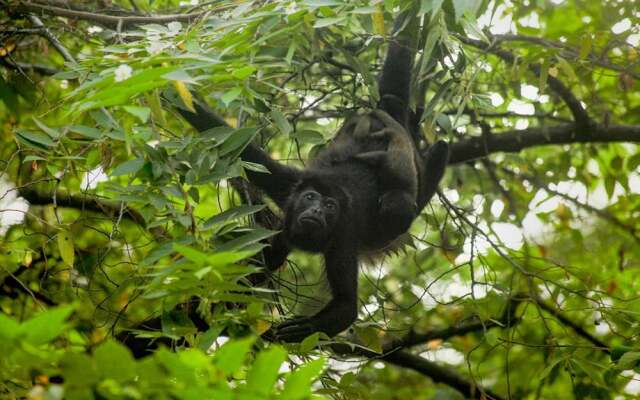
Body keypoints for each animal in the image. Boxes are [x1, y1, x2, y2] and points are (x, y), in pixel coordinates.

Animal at [176, 11, 450, 340]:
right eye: (310, 197)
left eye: (330, 206)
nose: (317, 210)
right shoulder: (286, 184)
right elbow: (235, 145)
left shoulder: (344, 232)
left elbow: (346, 307)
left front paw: (303, 327)